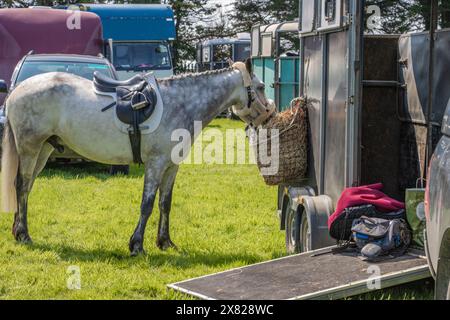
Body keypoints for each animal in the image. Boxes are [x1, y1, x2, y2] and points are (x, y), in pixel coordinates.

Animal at [0, 60, 270, 255]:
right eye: (260, 87)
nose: (269, 115)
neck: (180, 103)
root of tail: (16, 91)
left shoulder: (171, 166)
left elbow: (165, 203)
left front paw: (165, 242)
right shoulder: (155, 163)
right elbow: (147, 204)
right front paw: (137, 245)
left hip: (43, 151)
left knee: (26, 187)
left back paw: (18, 230)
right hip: (30, 148)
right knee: (21, 185)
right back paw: (24, 234)